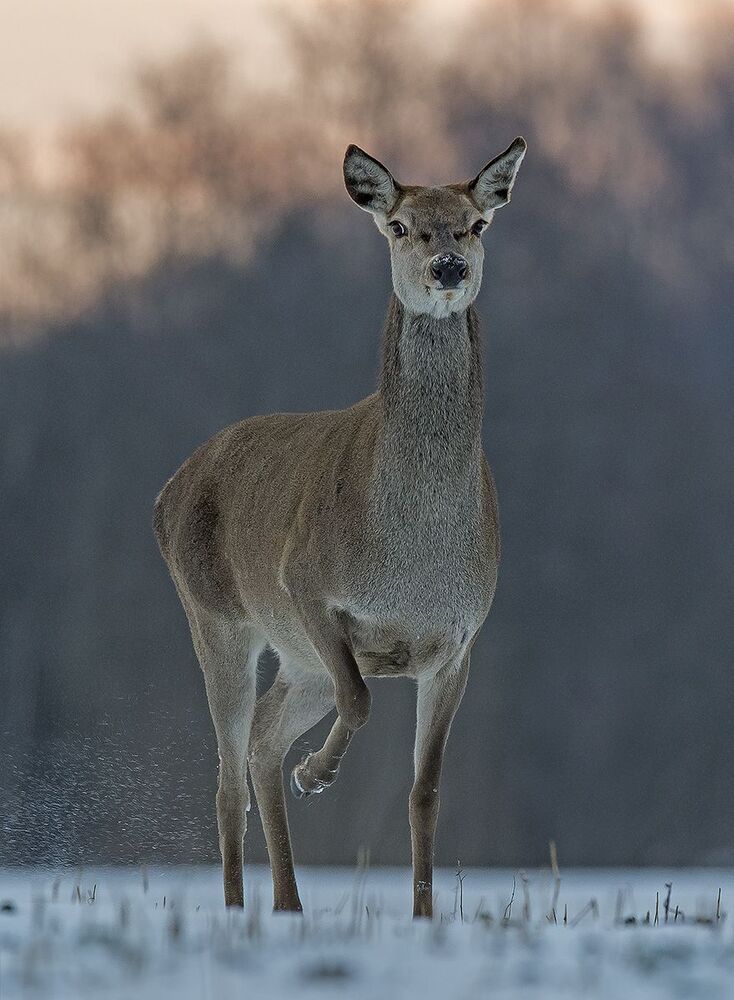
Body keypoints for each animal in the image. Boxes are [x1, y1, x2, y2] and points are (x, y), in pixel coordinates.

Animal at [153, 136, 526, 918]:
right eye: (400, 225)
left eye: (477, 224)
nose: (448, 268)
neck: (412, 553)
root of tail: (167, 491)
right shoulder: (307, 588)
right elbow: (360, 700)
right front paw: (317, 775)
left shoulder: (459, 642)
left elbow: (425, 792)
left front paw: (425, 913)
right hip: (219, 619)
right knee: (229, 776)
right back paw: (239, 905)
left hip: (295, 661)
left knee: (263, 739)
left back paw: (289, 902)